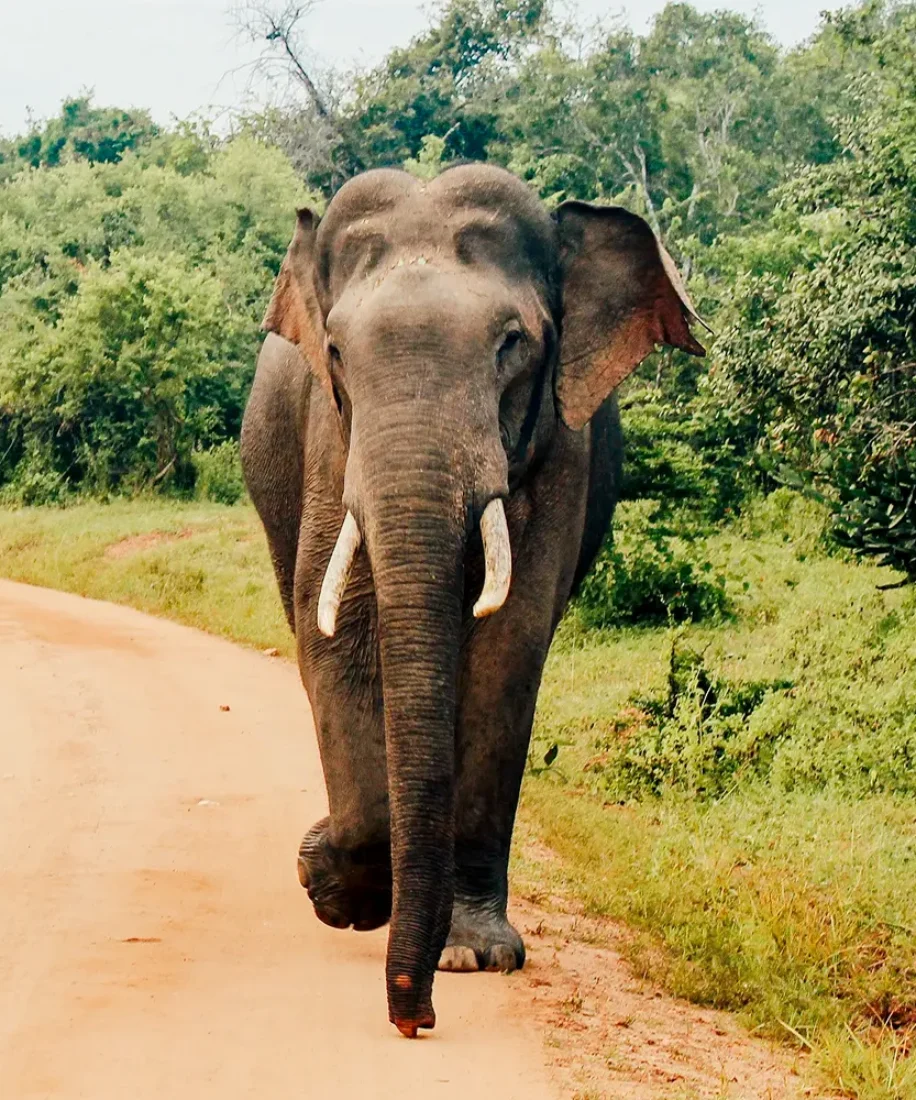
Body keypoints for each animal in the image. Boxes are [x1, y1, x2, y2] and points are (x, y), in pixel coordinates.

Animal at [240, 164, 704, 1038]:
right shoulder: (331, 438)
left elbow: (508, 651)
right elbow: (337, 638)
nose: (413, 1020)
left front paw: (471, 956)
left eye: (511, 342)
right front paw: (336, 888)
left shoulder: (561, 447)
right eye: (336, 351)